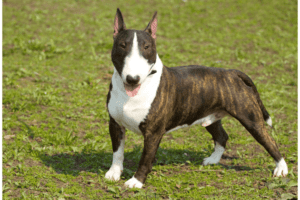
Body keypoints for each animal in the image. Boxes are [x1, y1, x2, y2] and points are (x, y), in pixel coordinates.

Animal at [105, 8, 288, 188]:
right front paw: (114, 173)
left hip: (251, 119)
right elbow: (117, 152)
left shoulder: (153, 133)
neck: (132, 92)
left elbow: (145, 158)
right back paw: (213, 160)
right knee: (222, 136)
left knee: (270, 141)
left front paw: (136, 181)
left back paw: (281, 168)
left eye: (147, 47)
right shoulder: (115, 124)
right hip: (211, 116)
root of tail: (231, 72)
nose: (132, 79)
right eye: (122, 45)